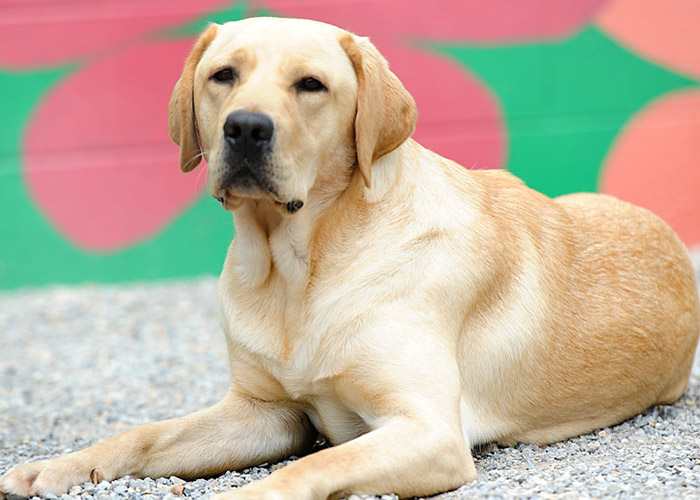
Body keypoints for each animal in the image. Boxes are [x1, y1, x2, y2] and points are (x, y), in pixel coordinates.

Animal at [1, 17, 700, 500]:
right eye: (223, 75)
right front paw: (56, 466)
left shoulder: (428, 430)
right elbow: (142, 434)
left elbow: (314, 464)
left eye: (311, 85)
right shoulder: (263, 412)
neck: (298, 268)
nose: (246, 128)